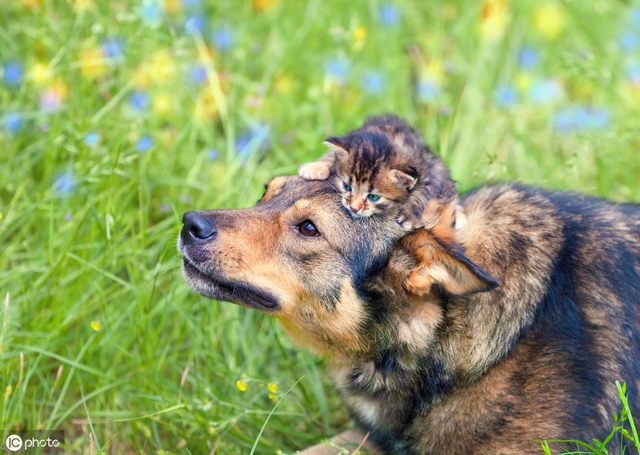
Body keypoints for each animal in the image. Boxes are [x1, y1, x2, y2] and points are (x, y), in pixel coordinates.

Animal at [298, 114, 458, 232]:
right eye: (347, 186)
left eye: (373, 197)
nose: (353, 208)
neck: (390, 135)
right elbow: (332, 154)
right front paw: (315, 167)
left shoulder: (427, 171)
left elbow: (421, 192)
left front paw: (410, 216)